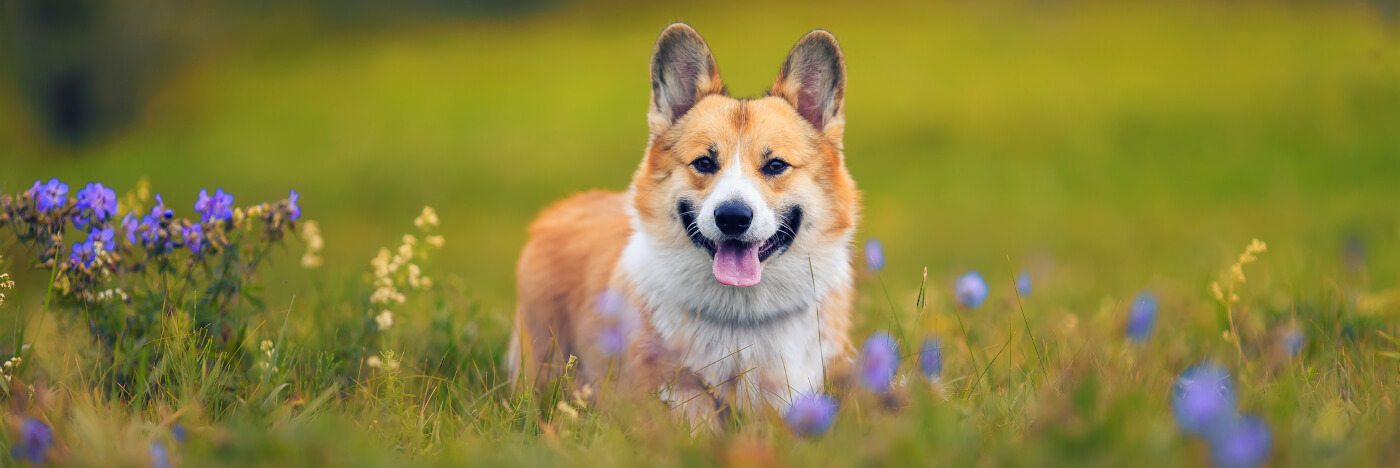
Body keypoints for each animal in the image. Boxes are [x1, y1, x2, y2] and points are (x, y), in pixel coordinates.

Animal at [504, 22, 851, 423]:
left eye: (776, 165)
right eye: (704, 163)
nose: (732, 218)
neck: (740, 314)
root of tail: (560, 207)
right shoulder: (673, 391)